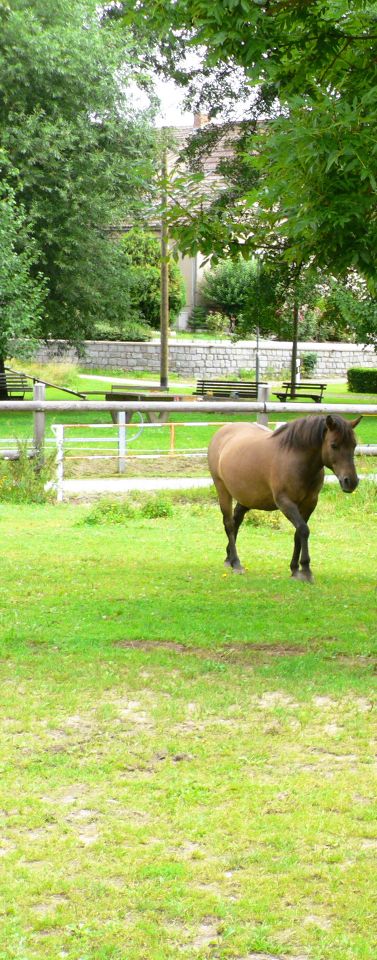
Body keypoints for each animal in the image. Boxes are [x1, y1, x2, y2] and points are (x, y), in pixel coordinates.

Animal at [209, 410, 362, 580]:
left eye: (354, 445)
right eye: (334, 445)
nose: (351, 481)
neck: (296, 459)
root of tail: (222, 432)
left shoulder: (309, 503)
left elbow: (298, 533)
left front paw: (295, 569)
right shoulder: (285, 503)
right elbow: (303, 530)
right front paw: (306, 569)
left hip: (247, 498)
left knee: (237, 520)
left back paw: (229, 558)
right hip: (223, 490)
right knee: (229, 524)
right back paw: (236, 563)